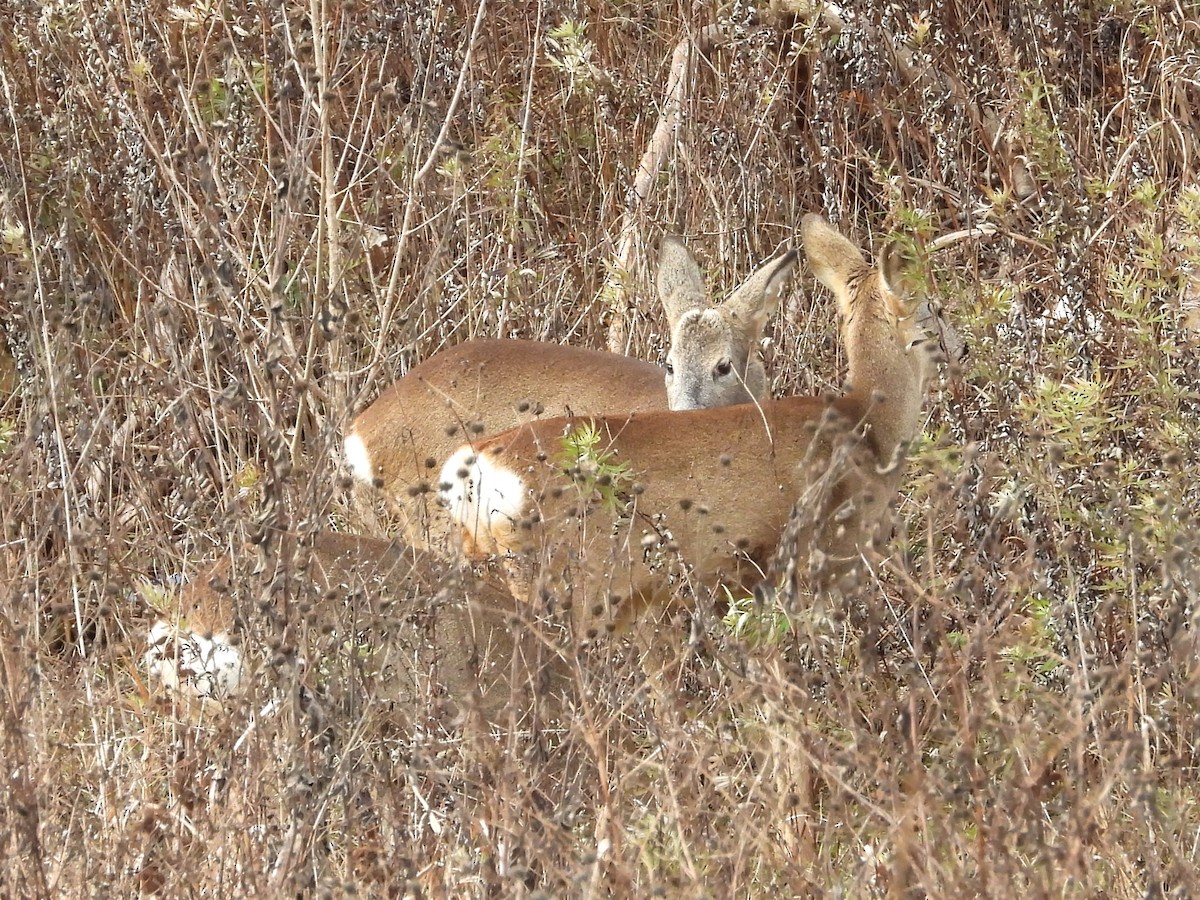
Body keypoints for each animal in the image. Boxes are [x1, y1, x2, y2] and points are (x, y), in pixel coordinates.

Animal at [438, 214, 944, 649]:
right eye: (934, 312)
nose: (956, 345)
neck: (867, 428)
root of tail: (475, 468)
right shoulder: (823, 562)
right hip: (577, 582)